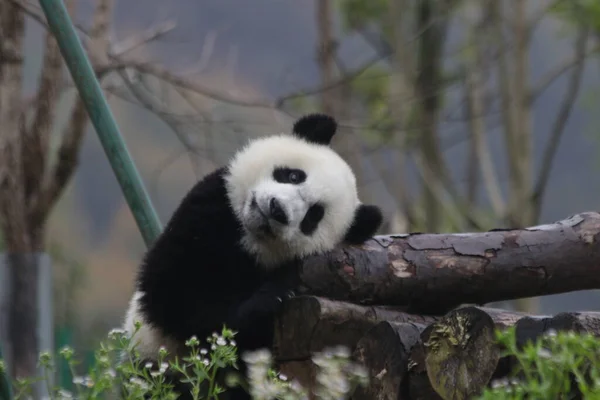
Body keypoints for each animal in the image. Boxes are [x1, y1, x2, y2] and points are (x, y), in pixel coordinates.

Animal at [122, 114, 384, 398]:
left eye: (314, 215)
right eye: (294, 175)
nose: (277, 209)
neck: (250, 241)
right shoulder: (208, 208)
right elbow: (174, 294)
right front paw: (272, 296)